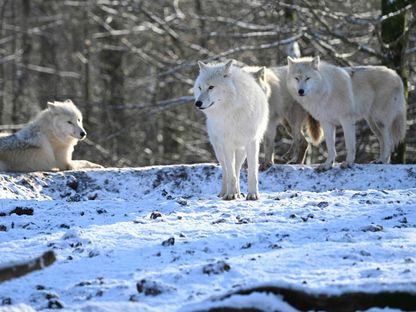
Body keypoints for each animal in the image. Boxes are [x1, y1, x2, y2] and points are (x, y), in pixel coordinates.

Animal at [193, 59, 268, 200]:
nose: (197, 103)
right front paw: (230, 194)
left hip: (241, 151)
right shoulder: (226, 144)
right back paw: (224, 192)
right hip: (219, 149)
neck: (231, 110)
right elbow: (230, 173)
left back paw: (238, 193)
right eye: (200, 88)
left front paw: (252, 195)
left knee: (237, 168)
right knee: (226, 171)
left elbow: (252, 173)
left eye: (211, 87)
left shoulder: (252, 142)